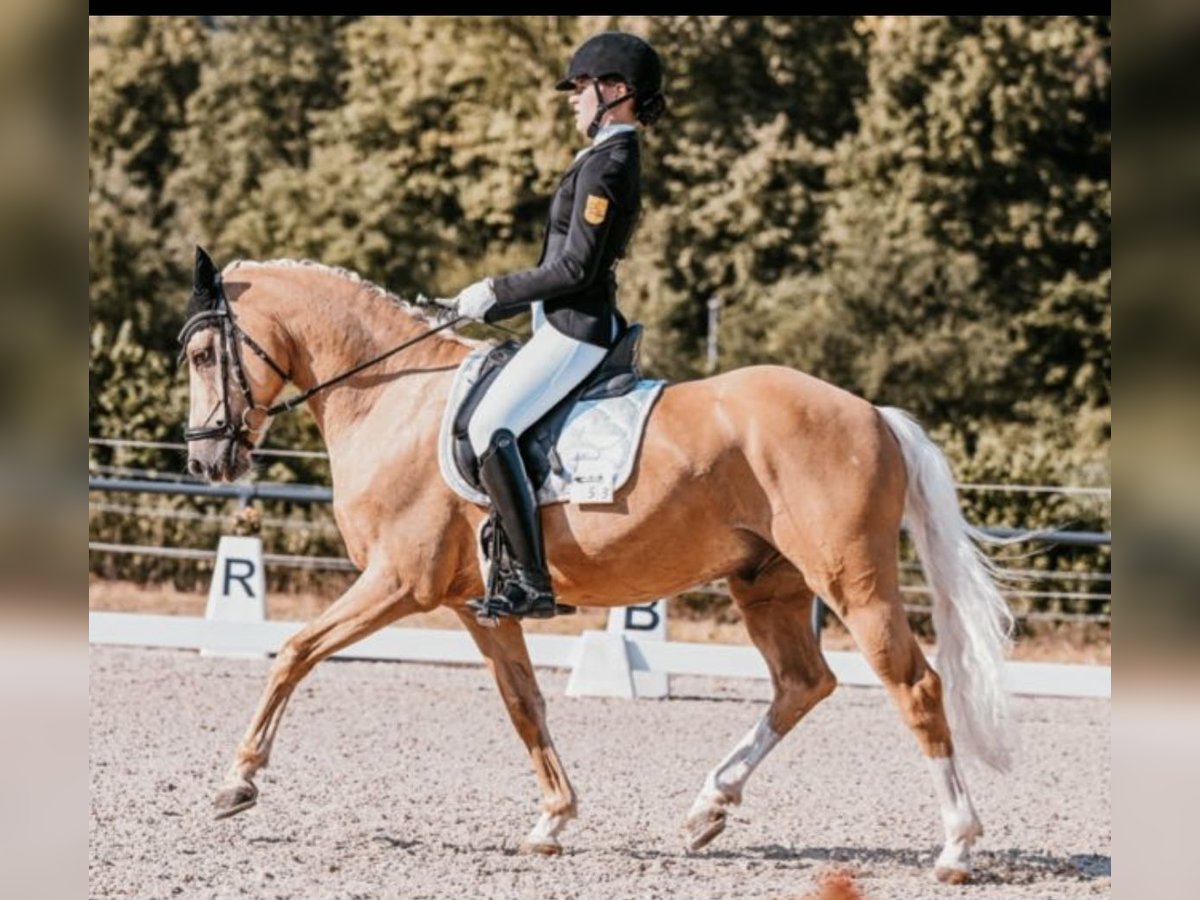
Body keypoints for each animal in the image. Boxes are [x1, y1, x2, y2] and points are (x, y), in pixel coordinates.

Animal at [180, 250, 1012, 883]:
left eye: (201, 354)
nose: (206, 459)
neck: (396, 401)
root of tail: (875, 414)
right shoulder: (474, 605)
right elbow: (524, 704)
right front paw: (553, 821)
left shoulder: (398, 582)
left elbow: (294, 651)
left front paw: (235, 783)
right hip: (766, 584)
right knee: (803, 684)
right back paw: (706, 809)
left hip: (851, 580)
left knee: (915, 686)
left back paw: (956, 847)